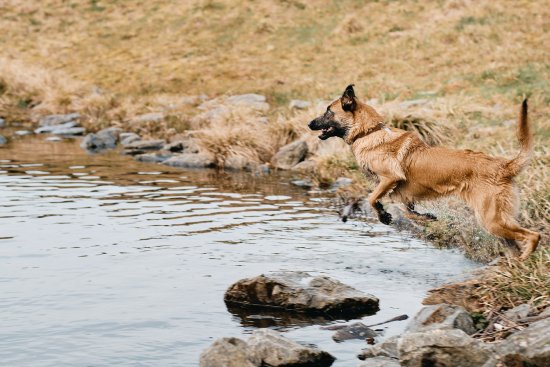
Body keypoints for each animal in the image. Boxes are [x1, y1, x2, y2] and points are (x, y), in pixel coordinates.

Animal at [310, 85, 544, 260]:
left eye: (328, 111)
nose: (309, 123)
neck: (368, 132)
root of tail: (503, 166)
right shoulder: (402, 193)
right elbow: (406, 210)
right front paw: (424, 217)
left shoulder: (390, 178)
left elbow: (372, 198)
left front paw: (384, 216)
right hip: (495, 222)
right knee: (515, 244)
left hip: (492, 219)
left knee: (534, 235)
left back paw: (525, 259)